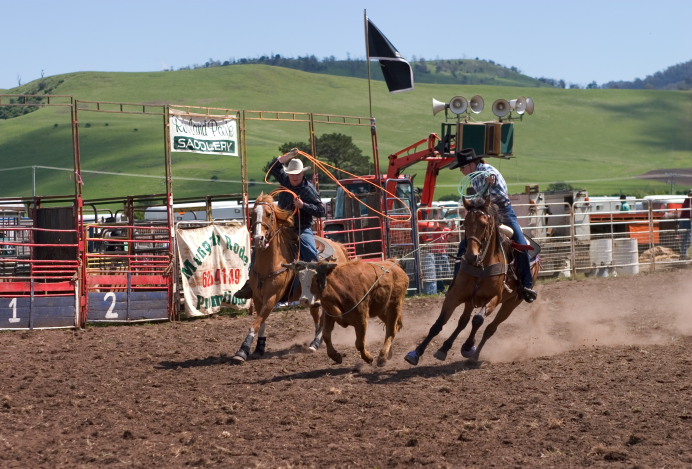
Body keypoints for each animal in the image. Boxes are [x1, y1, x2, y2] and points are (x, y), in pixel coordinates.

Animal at [231, 192, 348, 364]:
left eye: (268, 214)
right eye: (252, 214)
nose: (258, 239)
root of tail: (338, 247)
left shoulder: (272, 297)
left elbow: (255, 323)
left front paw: (242, 351)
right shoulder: (258, 298)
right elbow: (261, 323)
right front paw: (259, 348)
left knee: (324, 317)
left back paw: (315, 343)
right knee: (317, 316)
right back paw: (316, 341)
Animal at [406, 196, 540, 364]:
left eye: (484, 224)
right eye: (465, 223)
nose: (471, 256)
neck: (481, 266)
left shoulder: (495, 298)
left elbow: (477, 320)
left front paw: (468, 346)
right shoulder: (455, 295)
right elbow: (439, 324)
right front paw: (416, 353)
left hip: (512, 303)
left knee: (490, 328)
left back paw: (474, 355)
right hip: (470, 300)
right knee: (463, 322)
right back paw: (444, 349)